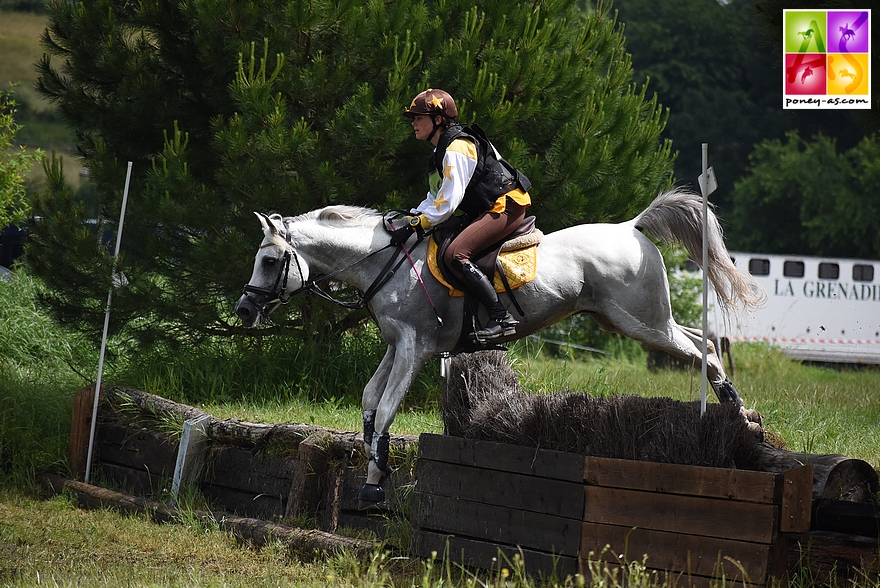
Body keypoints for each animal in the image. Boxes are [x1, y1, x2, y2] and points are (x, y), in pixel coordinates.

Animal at [235, 191, 764, 504]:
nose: (243, 310)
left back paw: (736, 414)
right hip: (630, 320)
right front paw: (376, 466)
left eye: (269, 261)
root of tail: (631, 227)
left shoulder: (415, 348)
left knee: (705, 351)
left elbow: (385, 409)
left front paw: (372, 483)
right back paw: (731, 413)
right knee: (704, 341)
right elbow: (369, 401)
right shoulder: (397, 345)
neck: (385, 262)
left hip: (641, 322)